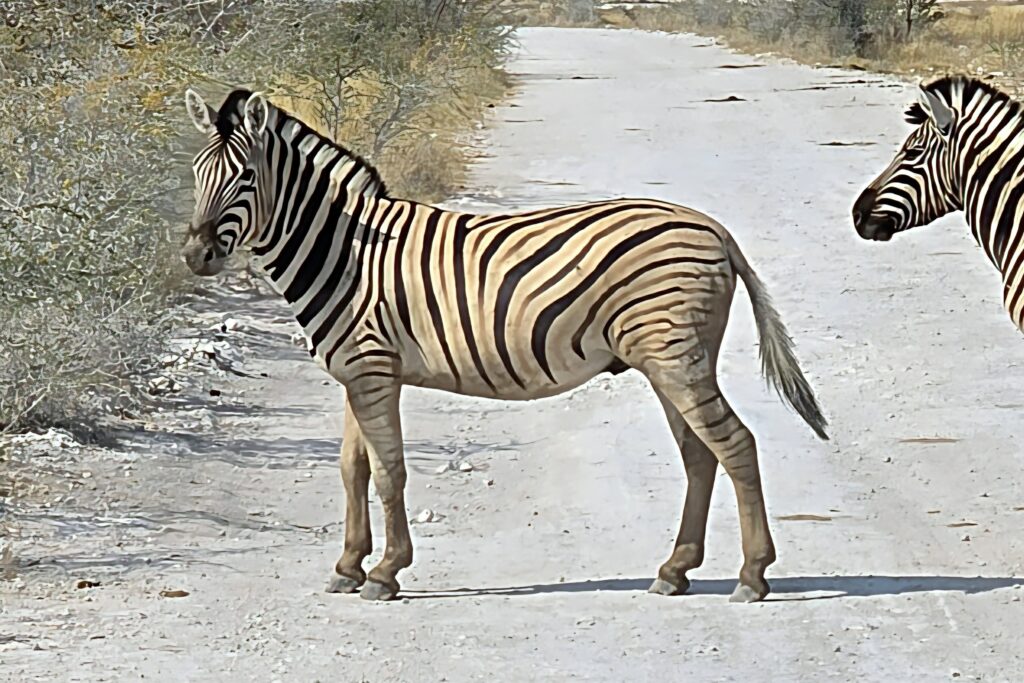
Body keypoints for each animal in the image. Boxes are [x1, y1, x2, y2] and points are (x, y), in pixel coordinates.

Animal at [182, 87, 828, 603]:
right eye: (196, 174)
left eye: (243, 179)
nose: (195, 256)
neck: (347, 253)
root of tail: (714, 228)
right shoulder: (355, 372)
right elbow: (352, 468)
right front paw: (347, 566)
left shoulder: (371, 369)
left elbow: (389, 471)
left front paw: (386, 573)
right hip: (667, 359)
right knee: (700, 454)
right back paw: (674, 571)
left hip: (675, 356)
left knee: (736, 444)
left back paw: (752, 577)